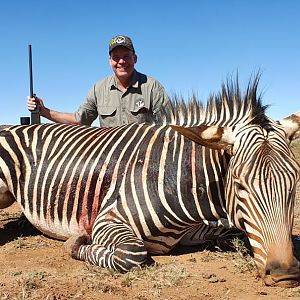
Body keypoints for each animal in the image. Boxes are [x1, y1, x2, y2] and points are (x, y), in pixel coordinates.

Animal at [0, 75, 298, 286]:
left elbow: (235, 234)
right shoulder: (108, 219)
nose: (284, 275)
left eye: (294, 184)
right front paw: (75, 243)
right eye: (238, 183)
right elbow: (131, 254)